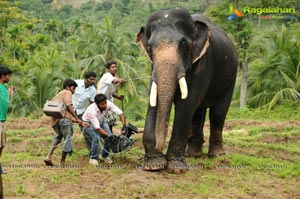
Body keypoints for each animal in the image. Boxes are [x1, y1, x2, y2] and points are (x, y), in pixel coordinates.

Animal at [137, 7, 238, 173]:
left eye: (183, 44)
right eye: (150, 47)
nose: (160, 149)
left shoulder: (204, 62)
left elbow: (187, 104)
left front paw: (175, 168)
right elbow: (154, 100)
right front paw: (154, 165)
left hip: (231, 78)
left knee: (218, 113)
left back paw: (216, 155)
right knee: (198, 112)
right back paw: (193, 154)